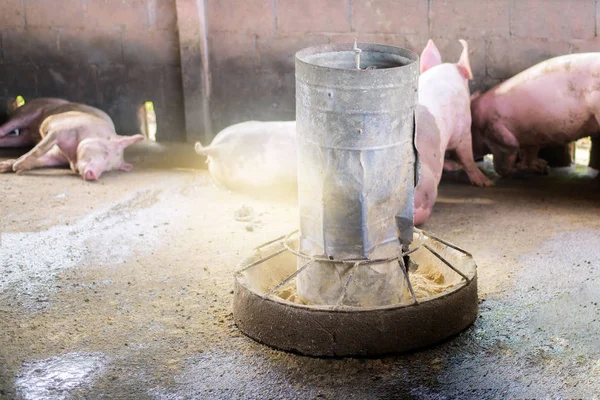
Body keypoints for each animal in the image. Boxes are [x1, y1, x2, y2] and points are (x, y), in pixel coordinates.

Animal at [0, 98, 144, 181]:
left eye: (108, 169)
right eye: (106, 152)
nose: (95, 176)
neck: (71, 155)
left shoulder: (57, 156)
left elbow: (41, 159)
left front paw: (10, 167)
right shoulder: (59, 128)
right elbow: (39, 148)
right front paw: (16, 167)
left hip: (23, 139)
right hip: (26, 111)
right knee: (6, 128)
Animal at [472, 52, 600, 176]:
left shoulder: (495, 131)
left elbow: (504, 161)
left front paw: (517, 170)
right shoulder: (530, 135)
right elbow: (529, 153)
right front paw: (545, 168)